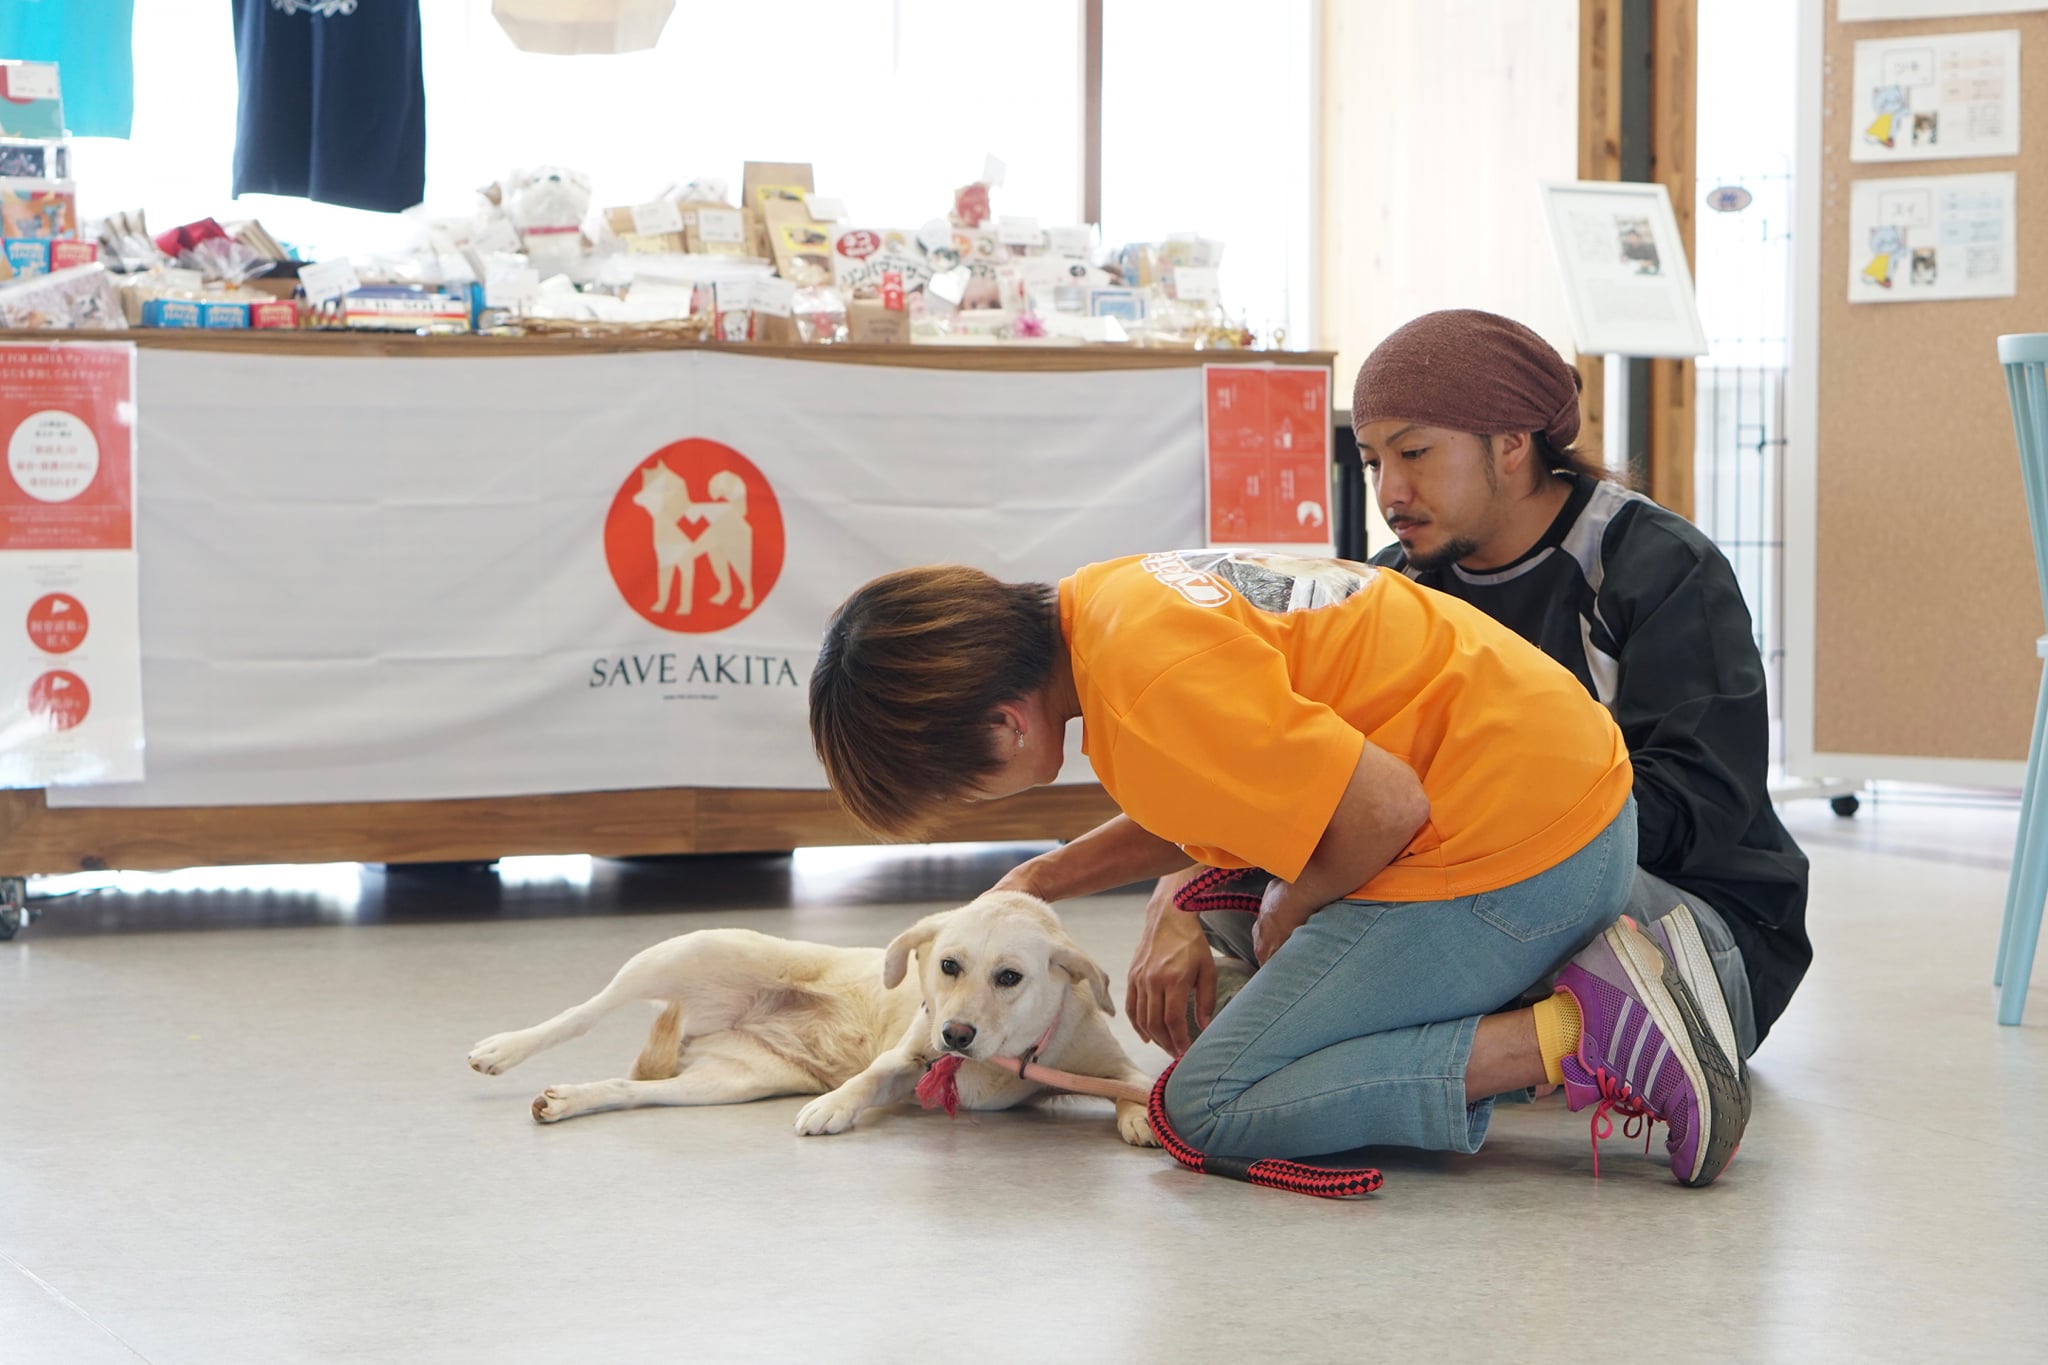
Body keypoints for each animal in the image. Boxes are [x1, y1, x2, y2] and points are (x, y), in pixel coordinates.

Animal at [468, 892, 1163, 1146]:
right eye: (948, 966)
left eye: (1010, 978)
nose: (955, 1035)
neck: (1003, 1057)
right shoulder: (904, 1058)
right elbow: (866, 1078)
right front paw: (832, 1106)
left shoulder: (1106, 1064)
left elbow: (1137, 1088)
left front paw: (1138, 1118)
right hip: (685, 951)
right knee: (582, 1013)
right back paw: (501, 1048)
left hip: (725, 1082)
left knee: (632, 1089)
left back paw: (570, 1099)